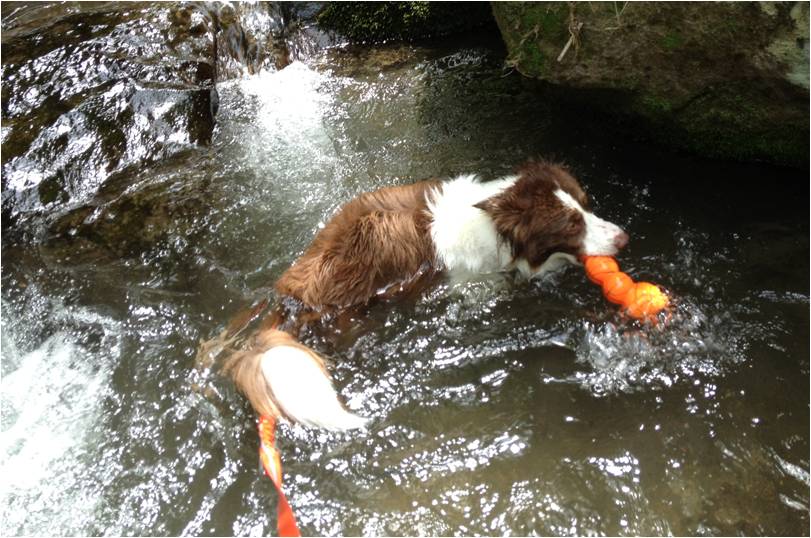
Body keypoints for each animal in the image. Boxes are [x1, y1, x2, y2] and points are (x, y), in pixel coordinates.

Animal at [220, 161, 628, 430]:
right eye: (571, 225)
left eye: (587, 205)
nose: (624, 238)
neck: (495, 225)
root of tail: (290, 296)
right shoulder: (474, 287)